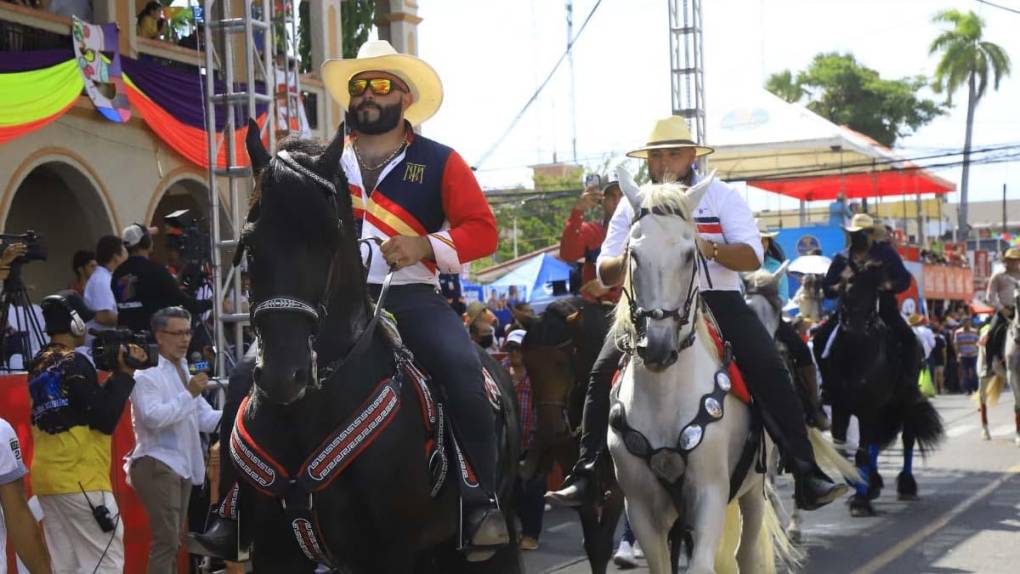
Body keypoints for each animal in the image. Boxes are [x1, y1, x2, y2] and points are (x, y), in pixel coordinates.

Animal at [234, 126, 522, 574]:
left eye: (329, 240)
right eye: (250, 243)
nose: (284, 374)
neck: (309, 414)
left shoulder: (389, 553)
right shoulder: (274, 553)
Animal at [607, 170, 791, 574]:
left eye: (690, 254)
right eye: (633, 254)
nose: (658, 347)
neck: (664, 396)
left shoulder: (710, 492)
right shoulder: (640, 506)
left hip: (753, 489)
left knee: (747, 554)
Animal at [811, 263, 946, 515]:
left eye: (872, 291)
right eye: (844, 292)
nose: (854, 329)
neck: (856, 357)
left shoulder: (868, 408)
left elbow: (862, 452)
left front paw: (860, 501)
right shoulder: (841, 407)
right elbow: (842, 449)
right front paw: (858, 485)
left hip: (901, 403)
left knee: (906, 439)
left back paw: (905, 485)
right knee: (873, 443)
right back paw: (873, 483)